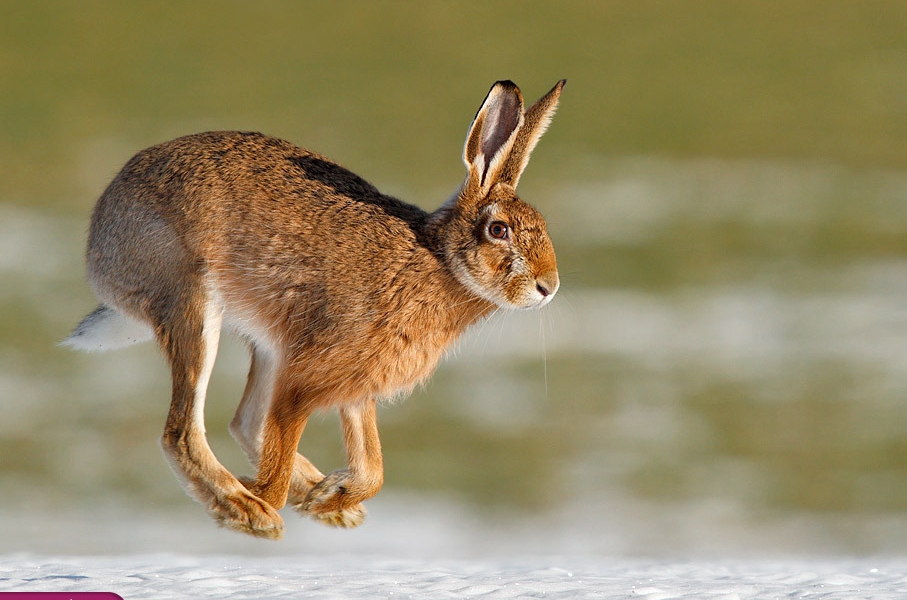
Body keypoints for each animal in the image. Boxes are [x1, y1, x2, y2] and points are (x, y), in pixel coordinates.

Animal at [63, 79, 564, 539]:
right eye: (498, 230)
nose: (548, 287)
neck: (436, 258)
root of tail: (100, 242)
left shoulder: (355, 388)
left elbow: (373, 469)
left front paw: (330, 499)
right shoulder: (306, 377)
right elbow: (284, 453)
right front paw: (272, 504)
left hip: (266, 340)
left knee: (244, 422)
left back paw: (323, 503)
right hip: (193, 304)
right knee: (184, 432)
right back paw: (248, 511)